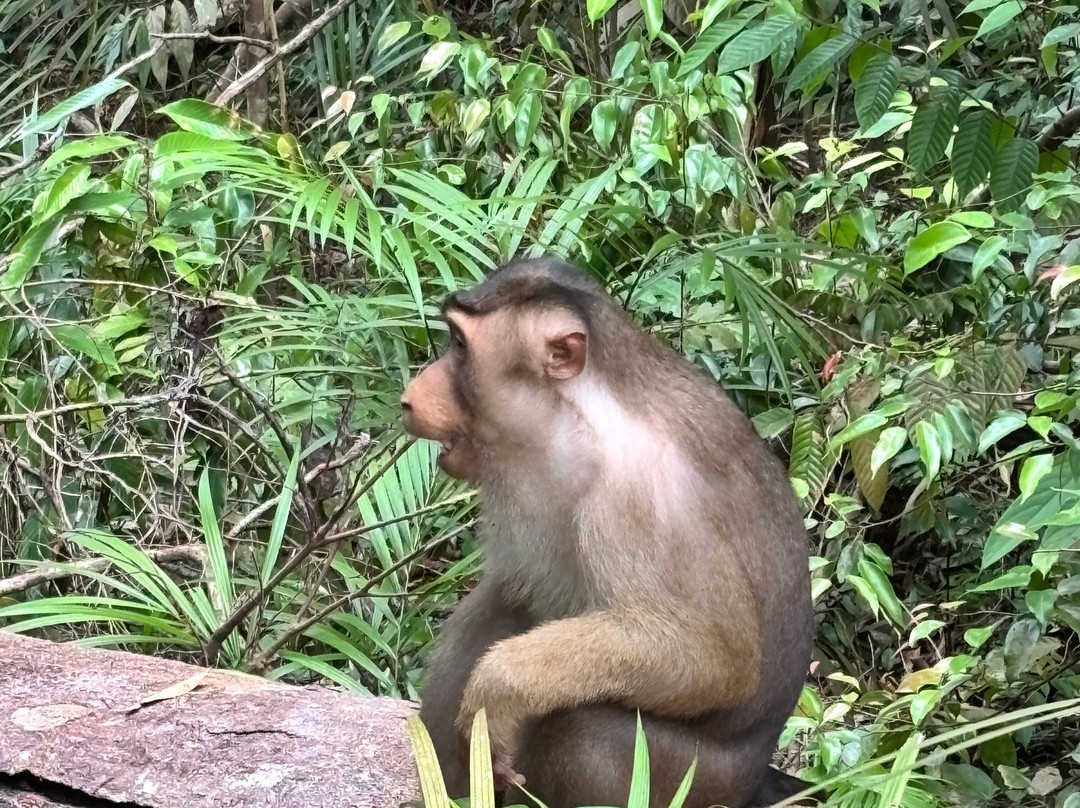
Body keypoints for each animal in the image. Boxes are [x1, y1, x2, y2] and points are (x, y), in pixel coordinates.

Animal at [400, 257, 814, 808]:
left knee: (584, 734)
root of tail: (757, 775)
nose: (409, 398)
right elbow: (519, 594)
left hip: (701, 781)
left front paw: (499, 689)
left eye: (459, 345)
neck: (579, 420)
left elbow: (714, 659)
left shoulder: (638, 501)